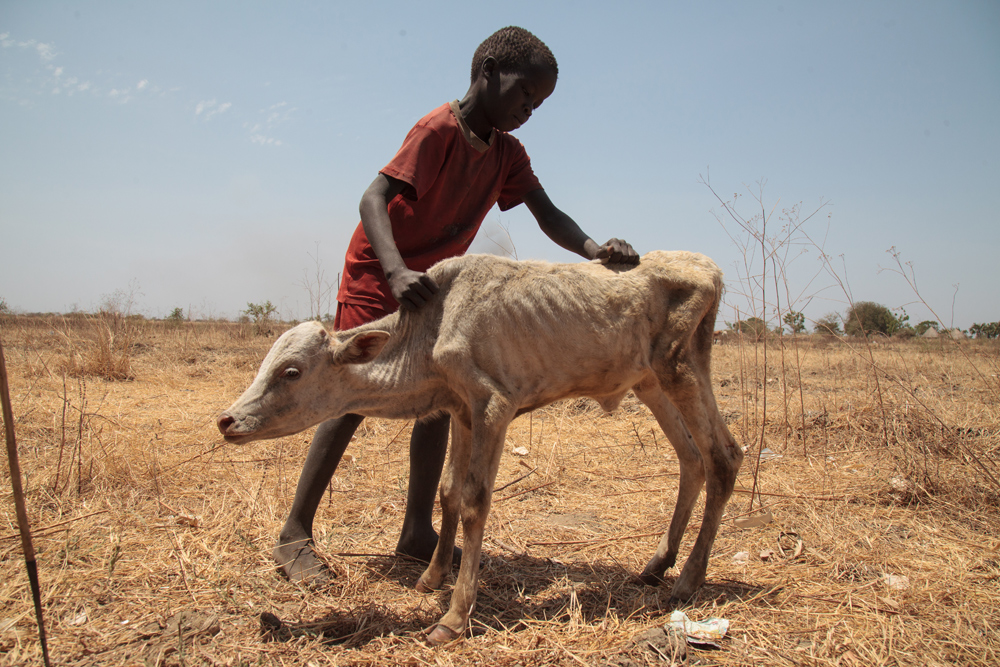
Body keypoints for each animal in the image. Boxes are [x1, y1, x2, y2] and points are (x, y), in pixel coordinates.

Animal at [219, 252, 744, 648]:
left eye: (291, 372)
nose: (228, 420)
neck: (431, 328)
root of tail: (708, 266)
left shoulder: (494, 405)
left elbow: (474, 502)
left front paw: (453, 617)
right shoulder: (461, 410)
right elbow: (449, 491)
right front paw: (431, 577)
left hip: (680, 367)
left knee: (724, 456)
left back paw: (688, 580)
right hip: (650, 382)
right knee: (691, 459)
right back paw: (656, 565)